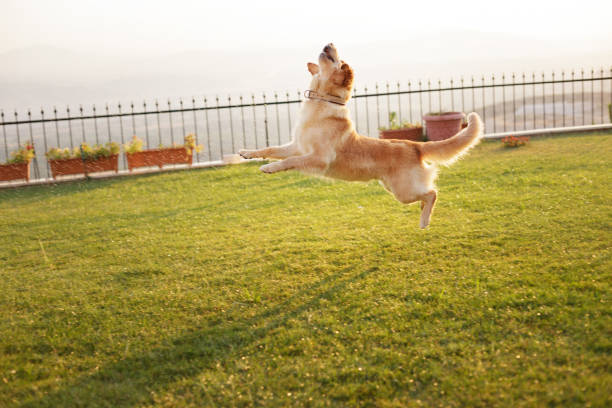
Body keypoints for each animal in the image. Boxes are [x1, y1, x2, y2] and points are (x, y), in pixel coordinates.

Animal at [239, 44, 482, 230]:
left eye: (339, 60)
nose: (329, 43)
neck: (321, 105)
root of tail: (414, 145)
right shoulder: (297, 146)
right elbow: (271, 150)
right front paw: (247, 153)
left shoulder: (318, 158)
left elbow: (289, 161)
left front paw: (269, 168)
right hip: (396, 189)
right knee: (427, 194)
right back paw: (423, 213)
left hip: (403, 191)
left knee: (432, 193)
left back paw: (424, 221)